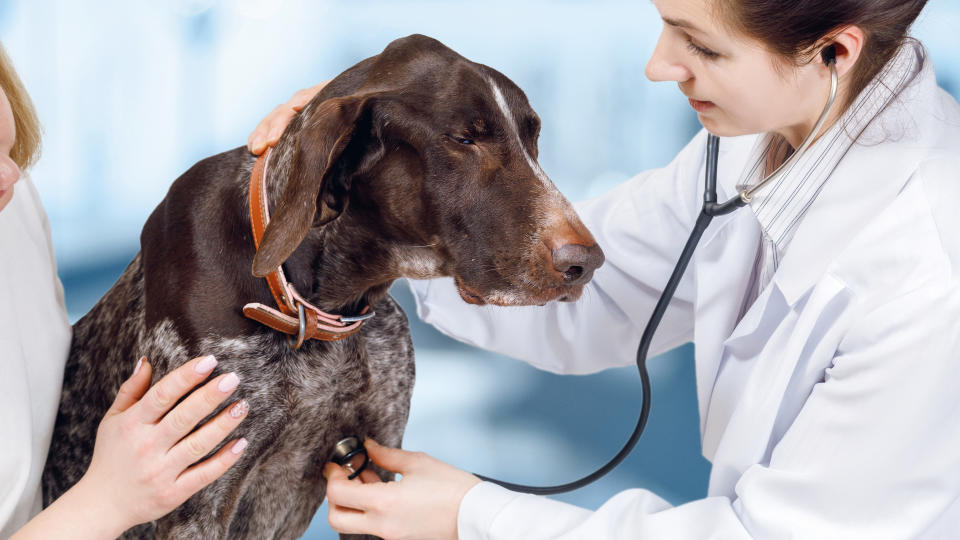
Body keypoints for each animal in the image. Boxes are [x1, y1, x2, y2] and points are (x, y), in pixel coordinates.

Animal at [43, 35, 608, 536]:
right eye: (465, 139)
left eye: (533, 140)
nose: (588, 262)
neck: (310, 302)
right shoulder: (196, 500)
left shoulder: (375, 466)